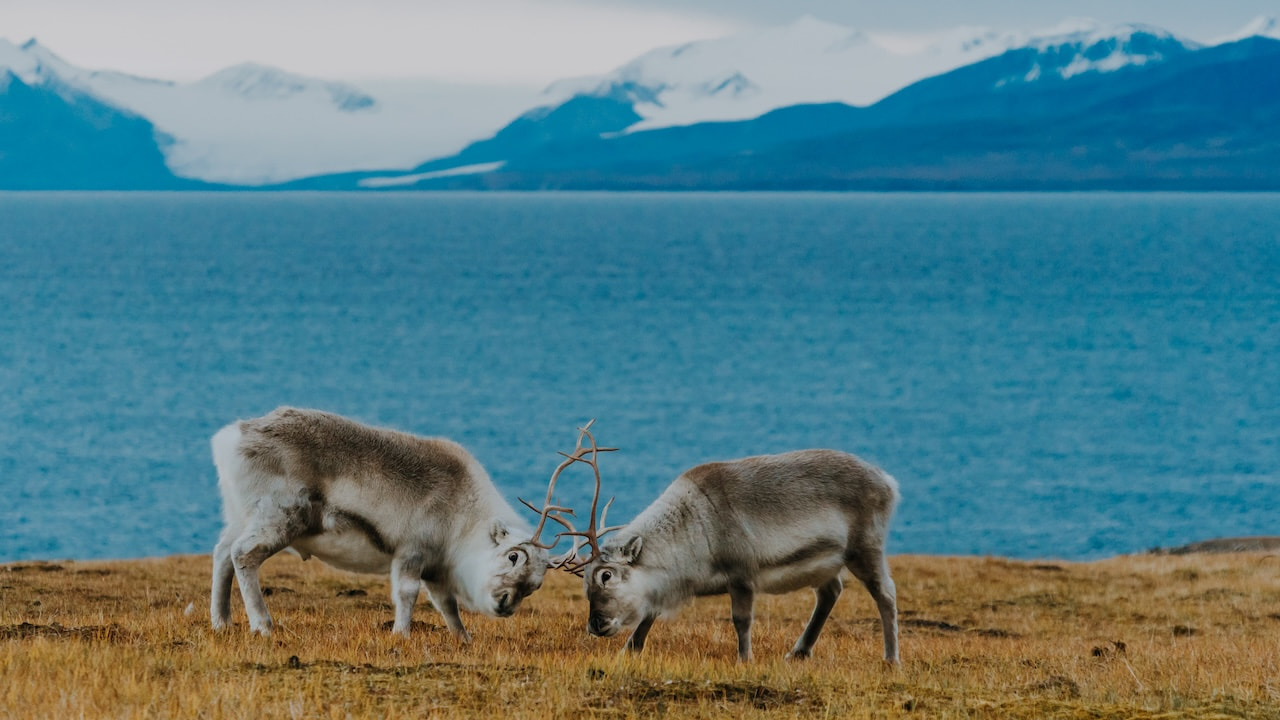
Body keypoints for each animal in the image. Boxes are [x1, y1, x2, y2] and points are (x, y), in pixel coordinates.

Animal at [209, 407, 578, 642]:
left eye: (534, 585)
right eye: (512, 556)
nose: (505, 603)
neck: (465, 519)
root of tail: (231, 438)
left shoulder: (436, 568)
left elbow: (447, 605)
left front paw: (464, 639)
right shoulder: (412, 552)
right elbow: (407, 593)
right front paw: (401, 635)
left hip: (239, 515)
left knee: (222, 553)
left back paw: (222, 622)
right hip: (280, 517)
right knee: (243, 554)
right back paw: (262, 625)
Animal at [546, 446, 901, 663]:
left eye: (606, 575)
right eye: (585, 584)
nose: (595, 624)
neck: (691, 529)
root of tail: (888, 482)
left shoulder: (741, 574)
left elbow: (741, 619)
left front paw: (745, 659)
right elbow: (650, 614)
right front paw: (628, 650)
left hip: (865, 547)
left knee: (885, 593)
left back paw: (891, 658)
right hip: (825, 563)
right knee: (831, 592)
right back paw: (798, 652)